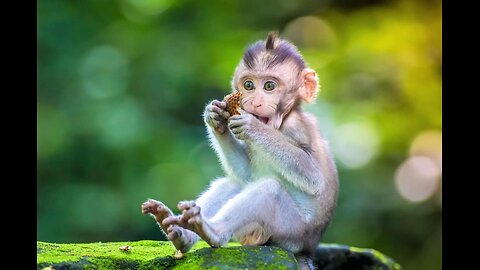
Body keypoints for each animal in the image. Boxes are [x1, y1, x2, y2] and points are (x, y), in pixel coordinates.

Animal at [142, 31, 338, 268]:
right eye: (249, 85)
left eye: (269, 86)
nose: (254, 102)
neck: (280, 124)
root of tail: (307, 249)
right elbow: (246, 173)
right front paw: (214, 119)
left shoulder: (297, 128)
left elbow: (314, 178)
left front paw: (251, 126)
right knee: (232, 184)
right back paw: (181, 233)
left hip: (290, 233)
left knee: (269, 191)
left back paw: (212, 232)